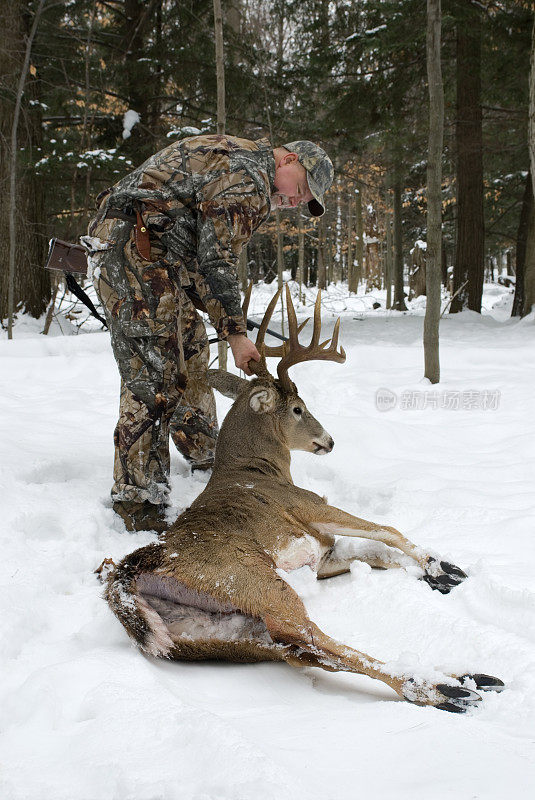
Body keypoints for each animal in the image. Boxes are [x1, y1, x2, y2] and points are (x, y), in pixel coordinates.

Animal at [99, 288, 502, 712]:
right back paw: (446, 686)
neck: (257, 469)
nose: (329, 440)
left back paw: (465, 679)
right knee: (310, 636)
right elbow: (386, 530)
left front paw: (442, 574)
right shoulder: (308, 506)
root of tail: (126, 576)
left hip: (218, 631)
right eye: (298, 408)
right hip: (253, 580)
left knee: (300, 650)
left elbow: (373, 553)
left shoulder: (322, 556)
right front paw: (441, 566)